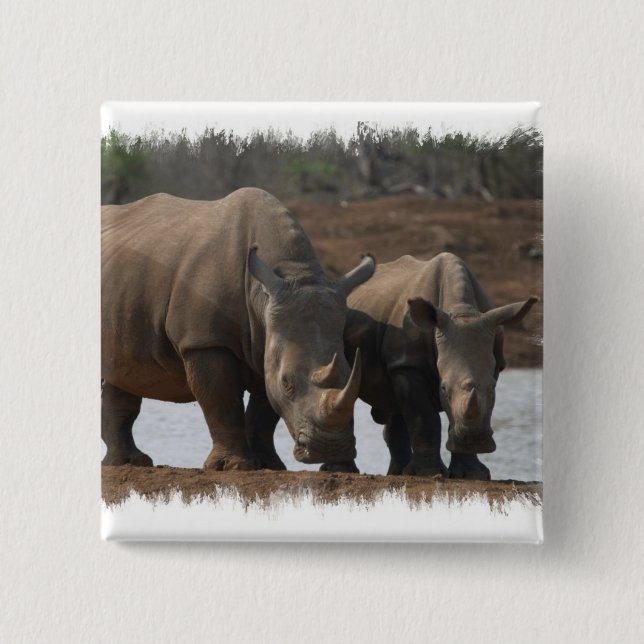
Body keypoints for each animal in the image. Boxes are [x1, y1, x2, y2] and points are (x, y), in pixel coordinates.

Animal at [101, 188, 375, 470]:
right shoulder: (205, 339)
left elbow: (264, 411)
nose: (329, 448)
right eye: (287, 383)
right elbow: (223, 401)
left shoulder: (267, 338)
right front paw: (234, 465)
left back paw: (128, 462)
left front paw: (270, 465)